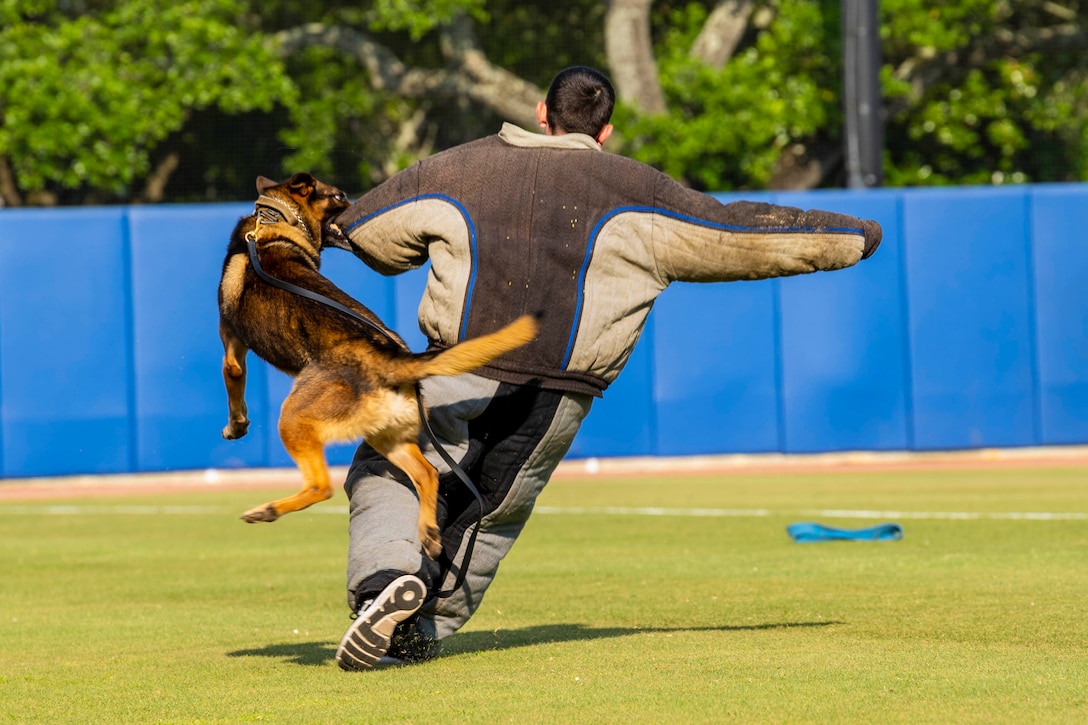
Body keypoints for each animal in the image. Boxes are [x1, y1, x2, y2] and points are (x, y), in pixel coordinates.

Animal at [214, 171, 537, 555]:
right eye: (340, 196)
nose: (358, 208)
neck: (273, 219)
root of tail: (391, 359)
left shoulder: (232, 344)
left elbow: (233, 380)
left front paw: (236, 426)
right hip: (385, 434)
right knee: (427, 473)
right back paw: (428, 533)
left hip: (294, 418)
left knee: (322, 486)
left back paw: (268, 510)